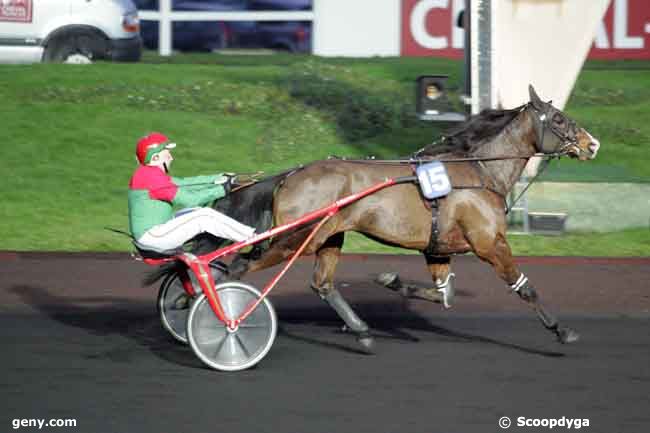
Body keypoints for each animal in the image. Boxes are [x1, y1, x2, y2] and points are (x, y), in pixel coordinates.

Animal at [218, 85, 596, 352]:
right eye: (558, 118)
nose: (592, 144)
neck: (479, 172)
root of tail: (289, 175)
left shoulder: (438, 248)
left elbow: (445, 294)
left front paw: (392, 280)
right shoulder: (489, 243)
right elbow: (525, 288)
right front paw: (561, 330)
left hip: (328, 237)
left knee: (322, 284)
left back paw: (362, 331)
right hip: (295, 237)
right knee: (238, 267)